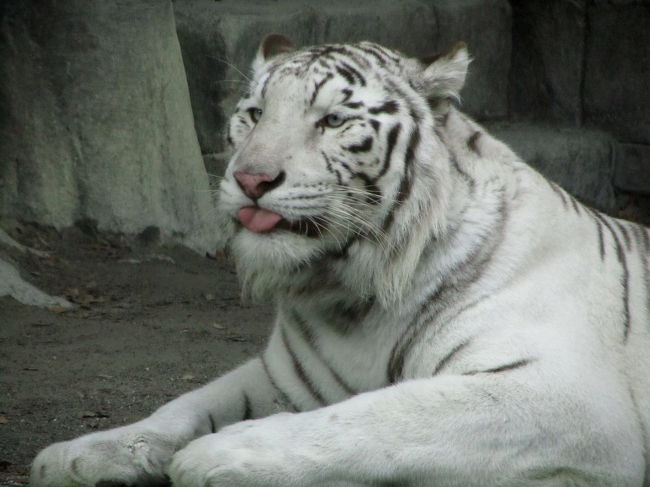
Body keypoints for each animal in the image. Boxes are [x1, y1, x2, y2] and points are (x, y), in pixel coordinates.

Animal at [30, 34, 648, 487]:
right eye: (254, 114)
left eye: (331, 121)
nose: (250, 179)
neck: (350, 295)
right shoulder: (283, 375)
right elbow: (186, 404)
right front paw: (77, 454)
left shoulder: (560, 394)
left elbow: (382, 413)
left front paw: (219, 454)